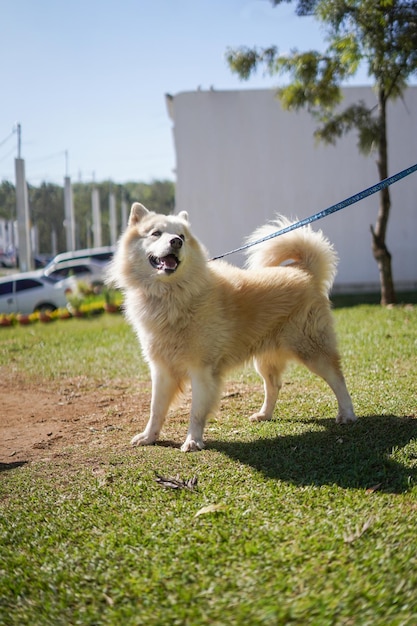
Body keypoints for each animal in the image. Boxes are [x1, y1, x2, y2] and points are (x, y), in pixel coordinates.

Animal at [106, 202, 354, 450]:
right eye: (156, 233)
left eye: (182, 236)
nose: (176, 242)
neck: (172, 295)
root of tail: (304, 271)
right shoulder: (161, 369)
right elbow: (155, 409)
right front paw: (148, 437)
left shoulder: (201, 370)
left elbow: (196, 412)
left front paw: (193, 440)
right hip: (265, 359)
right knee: (274, 385)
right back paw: (264, 415)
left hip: (312, 350)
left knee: (338, 379)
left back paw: (347, 415)